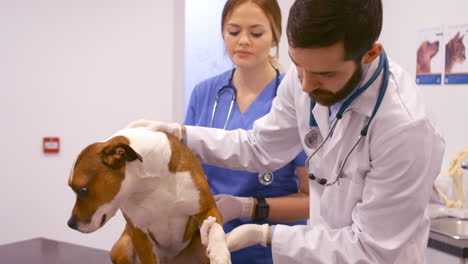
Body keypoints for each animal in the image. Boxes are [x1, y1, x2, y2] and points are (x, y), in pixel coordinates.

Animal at [66, 128, 231, 264]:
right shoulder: (140, 234)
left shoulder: (207, 209)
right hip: (121, 247)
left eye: (82, 190)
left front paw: (219, 254)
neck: (150, 182)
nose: (70, 224)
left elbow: (215, 228)